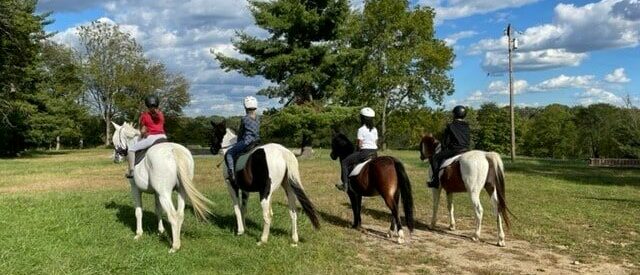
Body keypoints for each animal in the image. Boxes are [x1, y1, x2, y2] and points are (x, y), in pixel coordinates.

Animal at [111, 123, 214, 254]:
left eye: (114, 139)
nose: (116, 158)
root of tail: (174, 150)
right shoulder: (156, 193)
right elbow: (158, 210)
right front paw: (160, 231)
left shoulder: (135, 189)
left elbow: (138, 211)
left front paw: (138, 234)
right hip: (181, 192)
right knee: (180, 215)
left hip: (164, 194)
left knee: (173, 216)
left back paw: (174, 246)